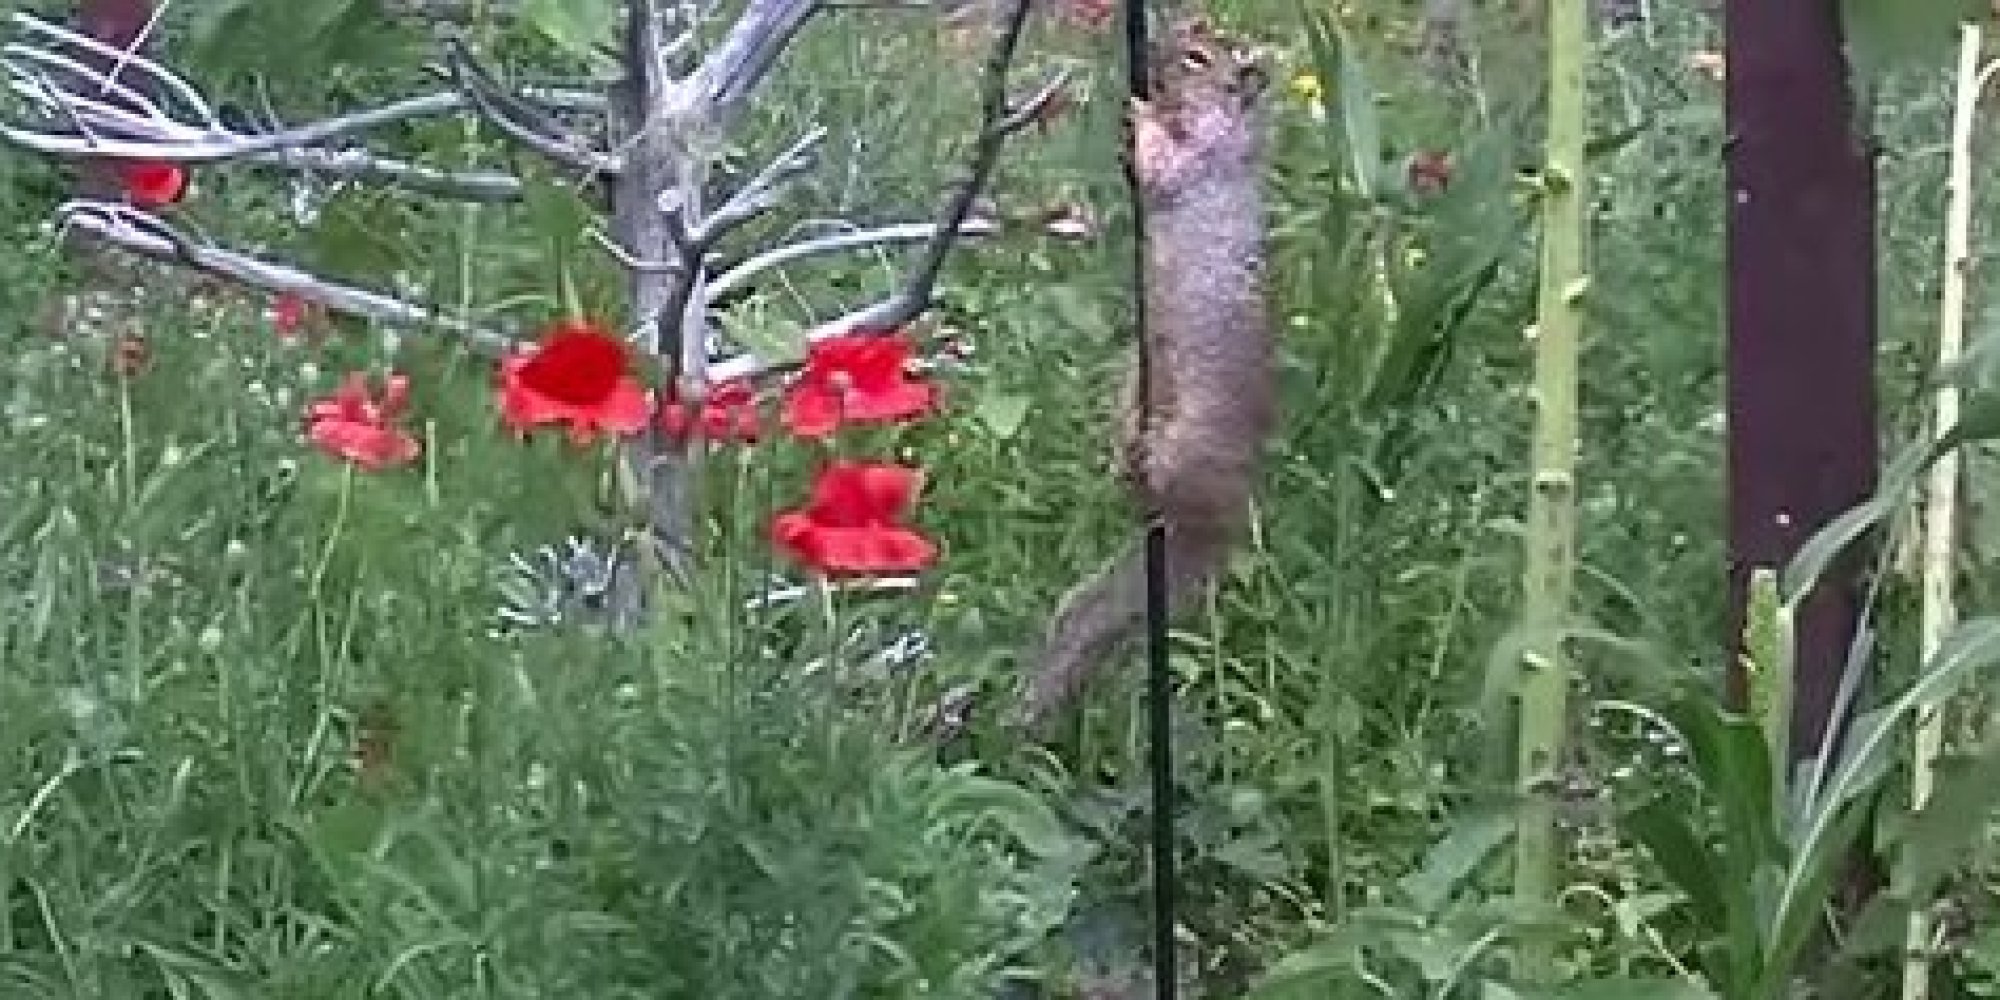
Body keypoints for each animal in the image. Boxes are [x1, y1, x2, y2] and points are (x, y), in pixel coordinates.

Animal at [1017, 16, 1274, 731]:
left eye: (1199, 58)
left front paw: (1138, 113)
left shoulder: (1205, 152)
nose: (1152, 54)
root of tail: (1216, 526)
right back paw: (1121, 461)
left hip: (1191, 446)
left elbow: (1167, 164)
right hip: (1129, 386)